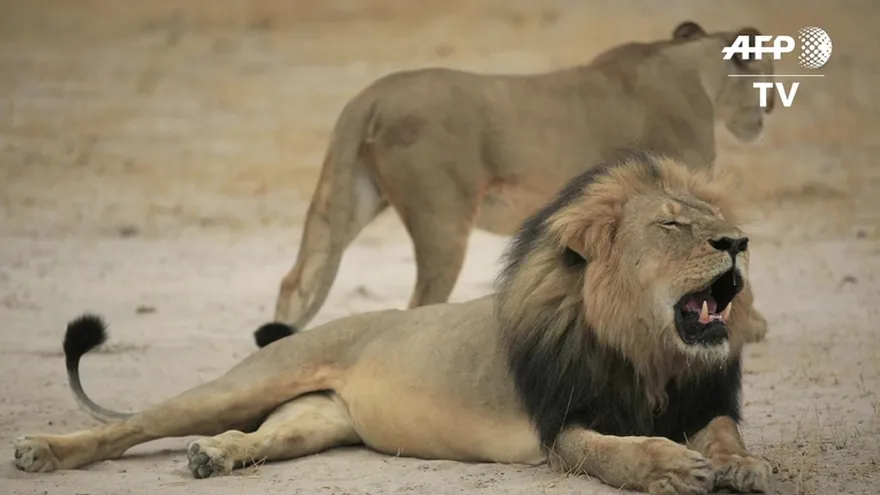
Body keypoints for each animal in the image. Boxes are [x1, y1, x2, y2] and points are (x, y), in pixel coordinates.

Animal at [14, 153, 775, 495]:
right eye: (673, 225)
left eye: (715, 220)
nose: (740, 241)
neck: (647, 350)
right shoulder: (563, 425)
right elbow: (618, 451)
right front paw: (672, 466)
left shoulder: (701, 398)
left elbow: (725, 432)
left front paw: (741, 465)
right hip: (246, 382)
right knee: (131, 426)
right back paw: (42, 451)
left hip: (314, 419)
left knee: (258, 436)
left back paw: (216, 457)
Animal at [267, 20, 773, 347]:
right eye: (764, 74)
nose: (768, 110)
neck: (698, 69)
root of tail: (369, 96)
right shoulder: (685, 186)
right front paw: (749, 326)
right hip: (441, 218)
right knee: (419, 303)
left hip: (349, 199)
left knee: (298, 280)